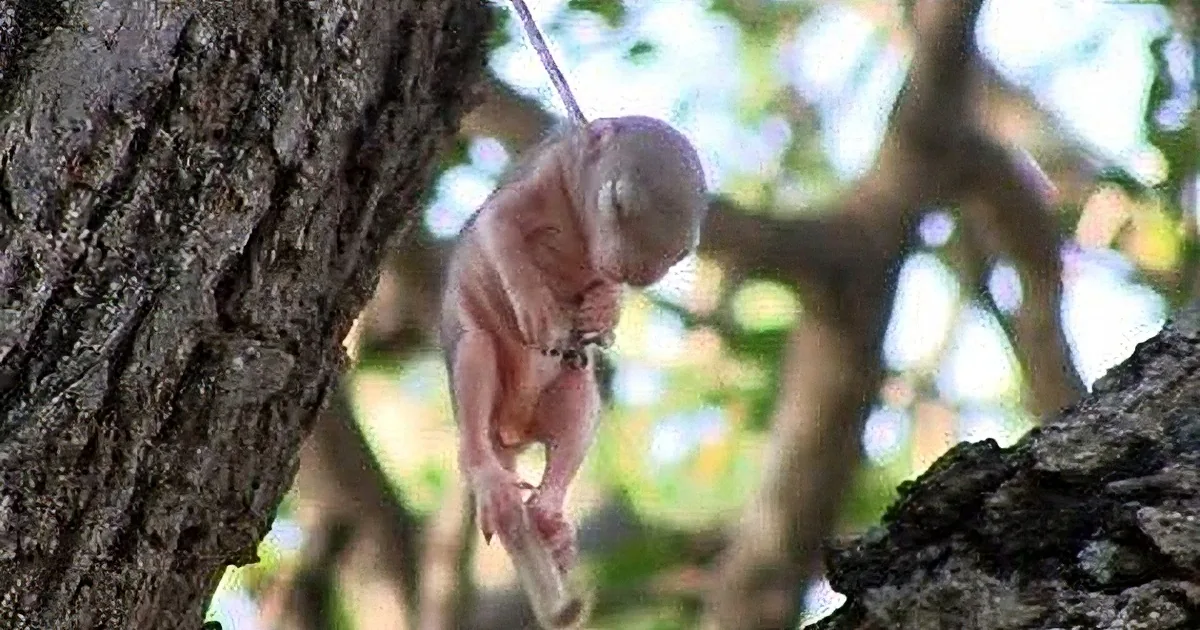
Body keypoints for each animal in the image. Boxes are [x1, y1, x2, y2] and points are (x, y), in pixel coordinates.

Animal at [438, 2, 709, 627]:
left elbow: (605, 291)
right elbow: (499, 233)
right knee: (474, 405)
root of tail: (512, 428)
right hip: (476, 354)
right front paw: (538, 308)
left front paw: (608, 305)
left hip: (571, 393)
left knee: (572, 428)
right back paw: (493, 484)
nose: (638, 272)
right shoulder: (537, 181)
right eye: (616, 200)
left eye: (683, 251)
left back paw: (550, 521)